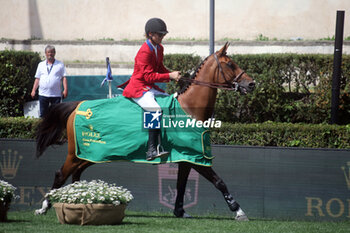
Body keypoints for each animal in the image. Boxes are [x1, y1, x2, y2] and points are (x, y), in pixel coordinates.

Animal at [34, 42, 254, 219]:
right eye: (230, 64)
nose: (251, 84)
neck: (189, 108)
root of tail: (78, 106)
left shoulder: (187, 156)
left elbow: (181, 185)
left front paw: (180, 211)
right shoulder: (198, 158)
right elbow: (219, 182)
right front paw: (239, 211)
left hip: (90, 154)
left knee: (76, 174)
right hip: (77, 154)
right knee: (60, 174)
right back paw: (44, 207)